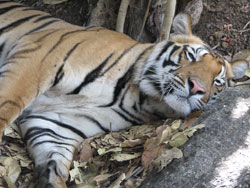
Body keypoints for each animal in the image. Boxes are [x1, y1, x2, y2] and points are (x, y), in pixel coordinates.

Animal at [0, 0, 248, 187]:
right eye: (192, 56)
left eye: (217, 82)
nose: (197, 87)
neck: (140, 97)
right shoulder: (39, 60)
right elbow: (7, 105)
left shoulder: (55, 125)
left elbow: (53, 163)